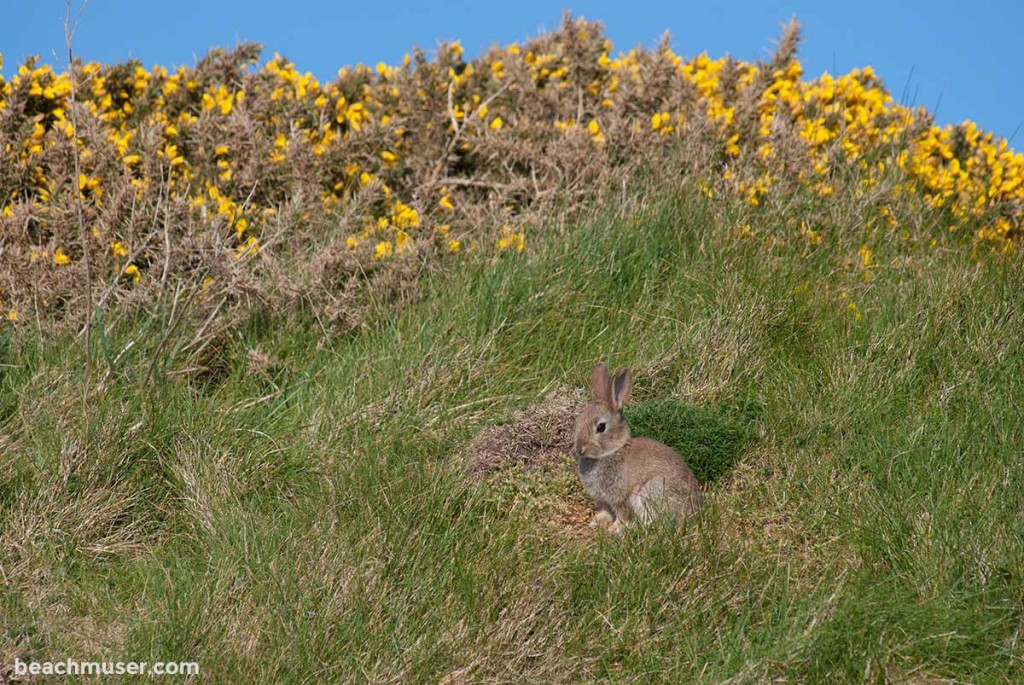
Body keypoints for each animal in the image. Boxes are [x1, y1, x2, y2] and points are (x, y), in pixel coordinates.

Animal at [573, 360, 700, 532]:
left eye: (601, 427)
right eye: (578, 420)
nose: (580, 449)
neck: (613, 451)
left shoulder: (622, 498)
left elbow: (623, 516)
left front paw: (613, 530)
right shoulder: (603, 500)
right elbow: (605, 512)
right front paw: (596, 522)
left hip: (653, 489)